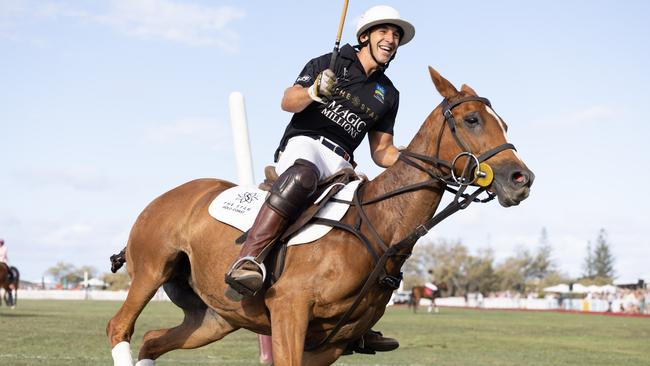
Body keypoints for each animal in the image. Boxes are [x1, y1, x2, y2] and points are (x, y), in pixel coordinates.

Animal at [106, 66, 532, 366]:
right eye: (472, 120)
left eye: (505, 123)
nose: (521, 179)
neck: (379, 225)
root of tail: (167, 196)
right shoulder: (289, 311)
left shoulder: (331, 343)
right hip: (151, 270)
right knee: (120, 327)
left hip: (215, 317)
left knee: (152, 340)